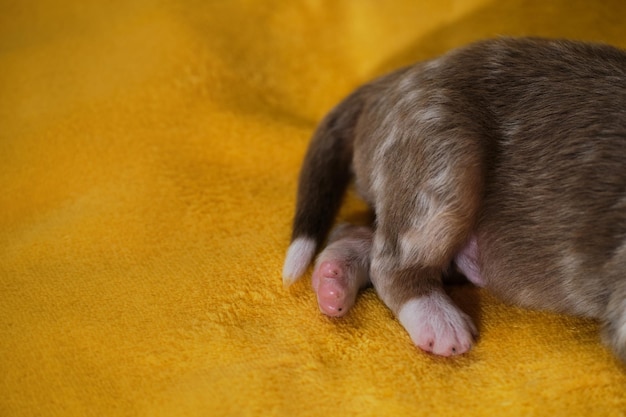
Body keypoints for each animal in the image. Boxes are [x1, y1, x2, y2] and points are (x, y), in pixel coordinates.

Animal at [282, 37, 624, 360]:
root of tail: (393, 80)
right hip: (443, 157)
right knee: (392, 263)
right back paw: (438, 322)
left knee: (357, 232)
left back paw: (334, 279)